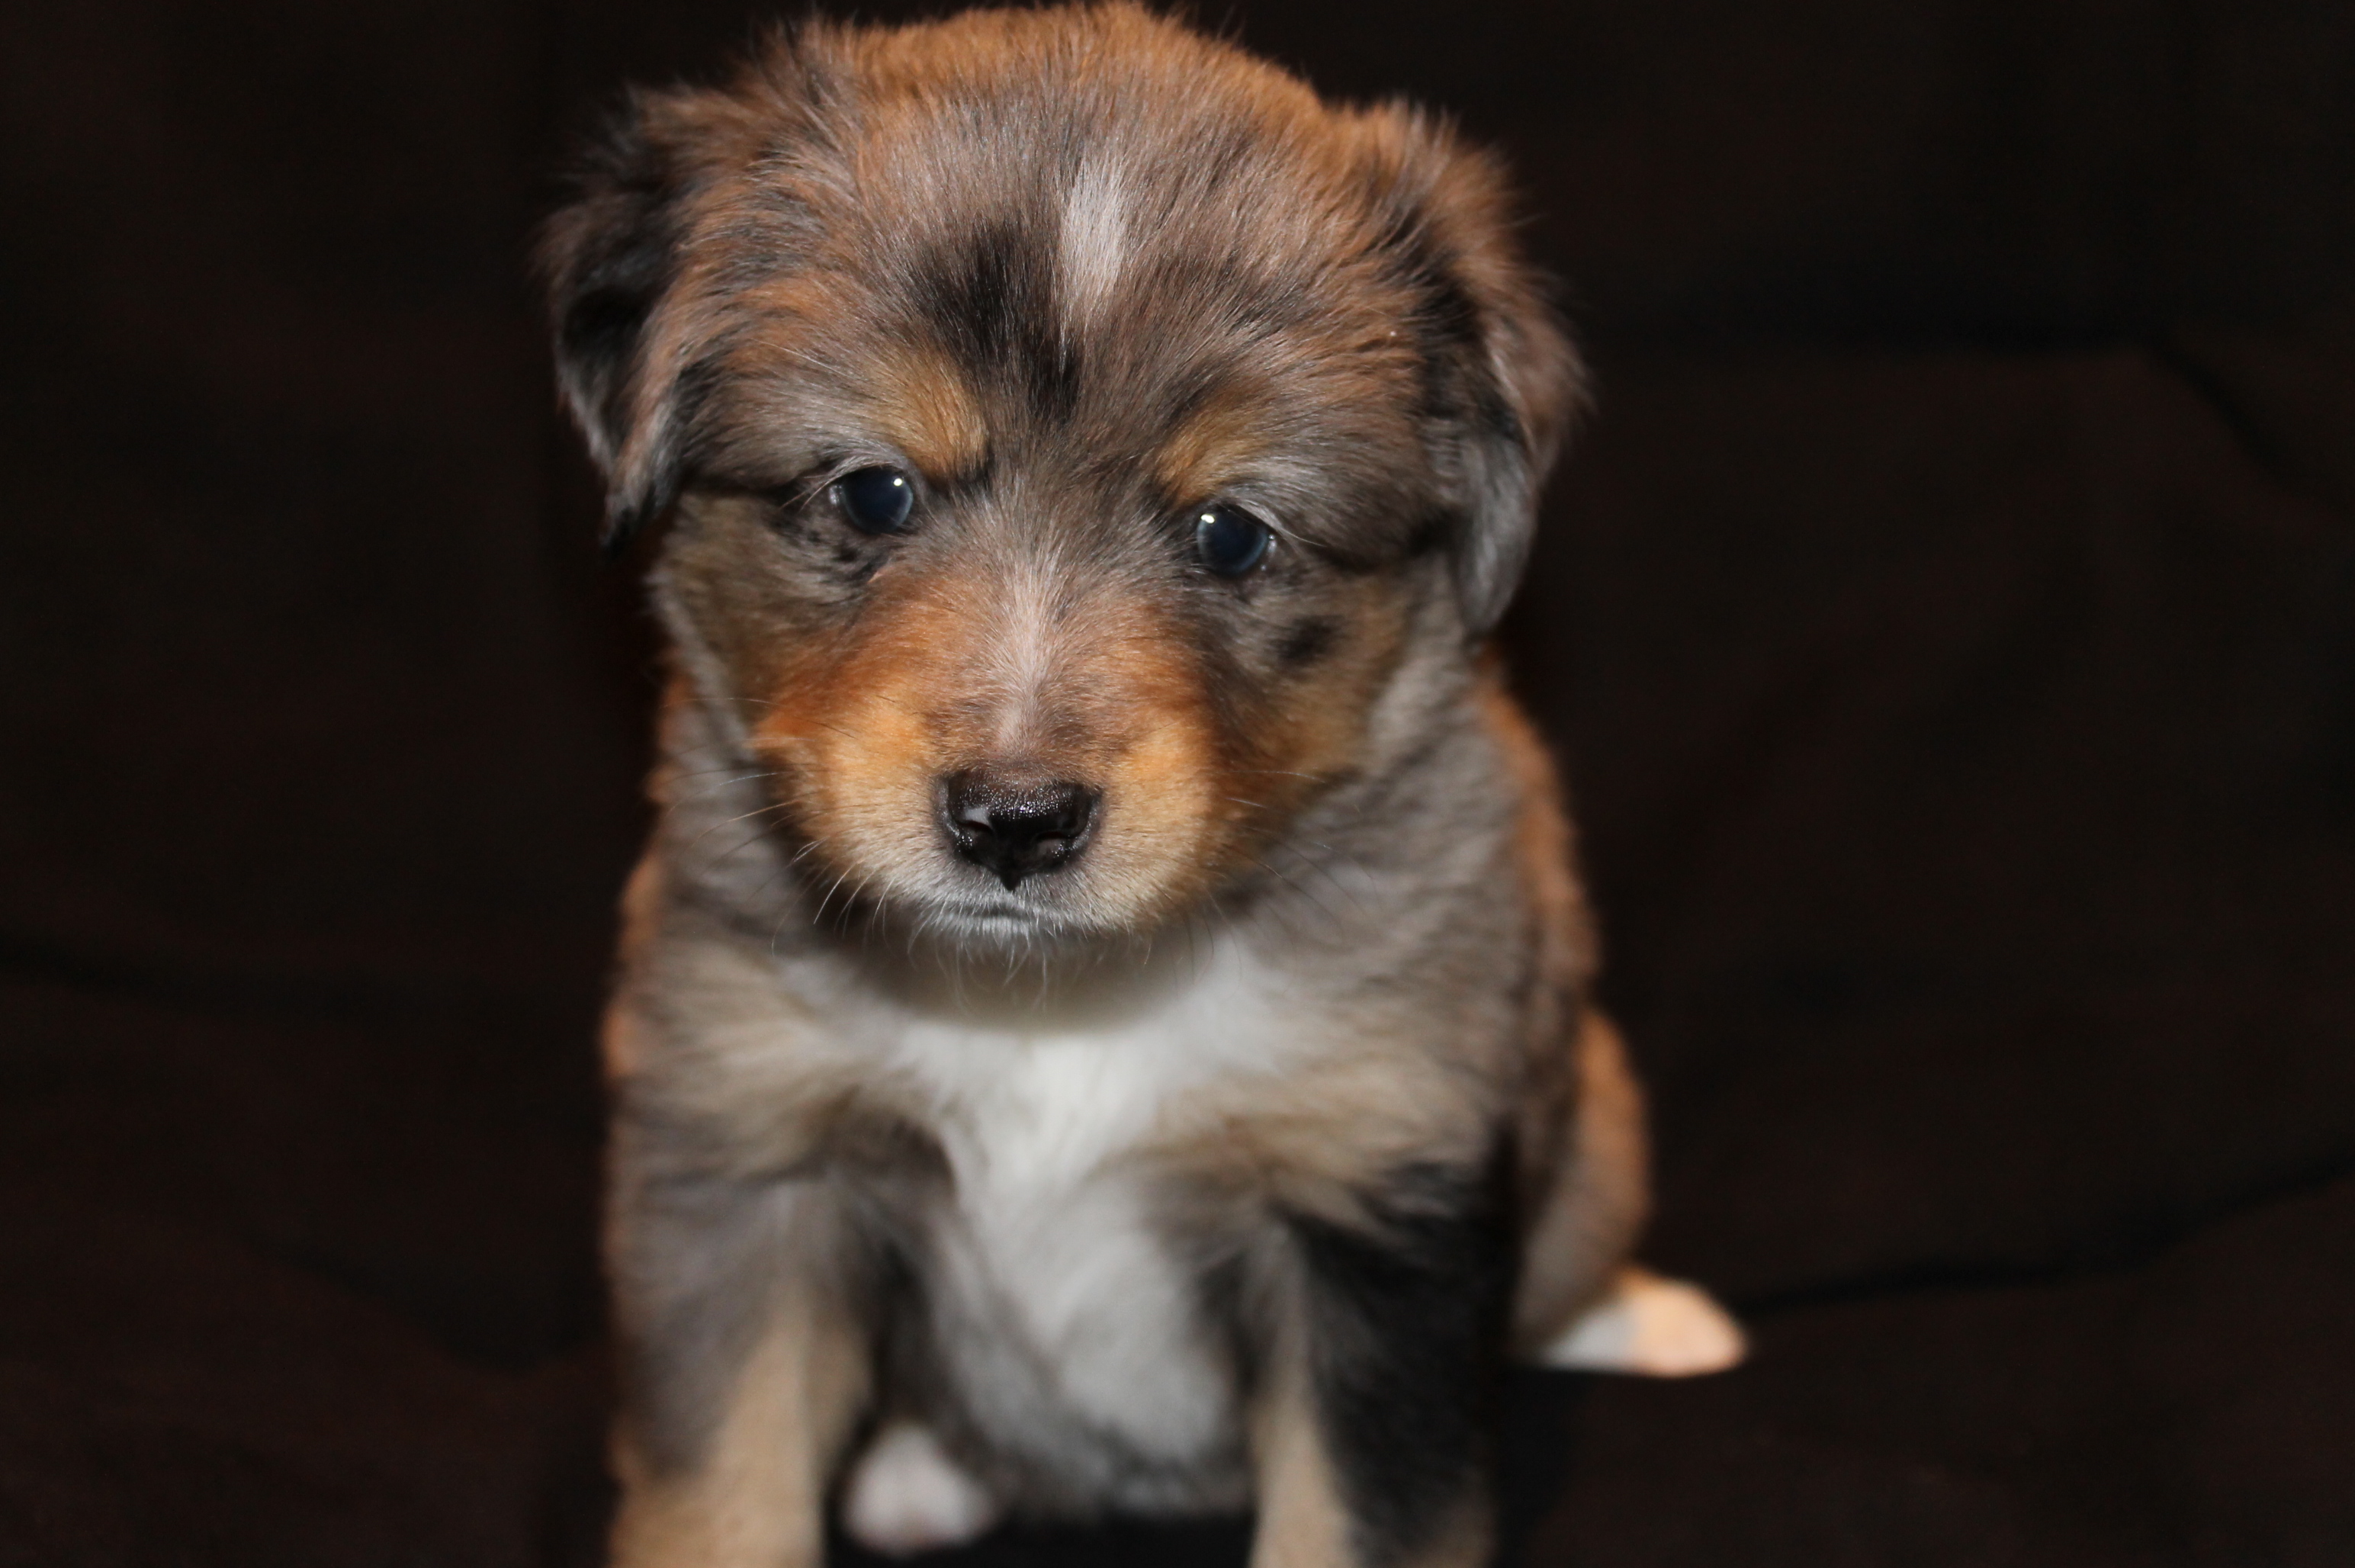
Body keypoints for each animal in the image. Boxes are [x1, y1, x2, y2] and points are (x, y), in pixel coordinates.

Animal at [541, 6, 1743, 1554]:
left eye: (1231, 533)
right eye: (871, 491)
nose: (1014, 821)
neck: (1057, 1004)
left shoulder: (1373, 1196)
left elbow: (1359, 1516)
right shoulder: (744, 1151)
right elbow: (722, 1489)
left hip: (1589, 1103)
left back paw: (1650, 1321)